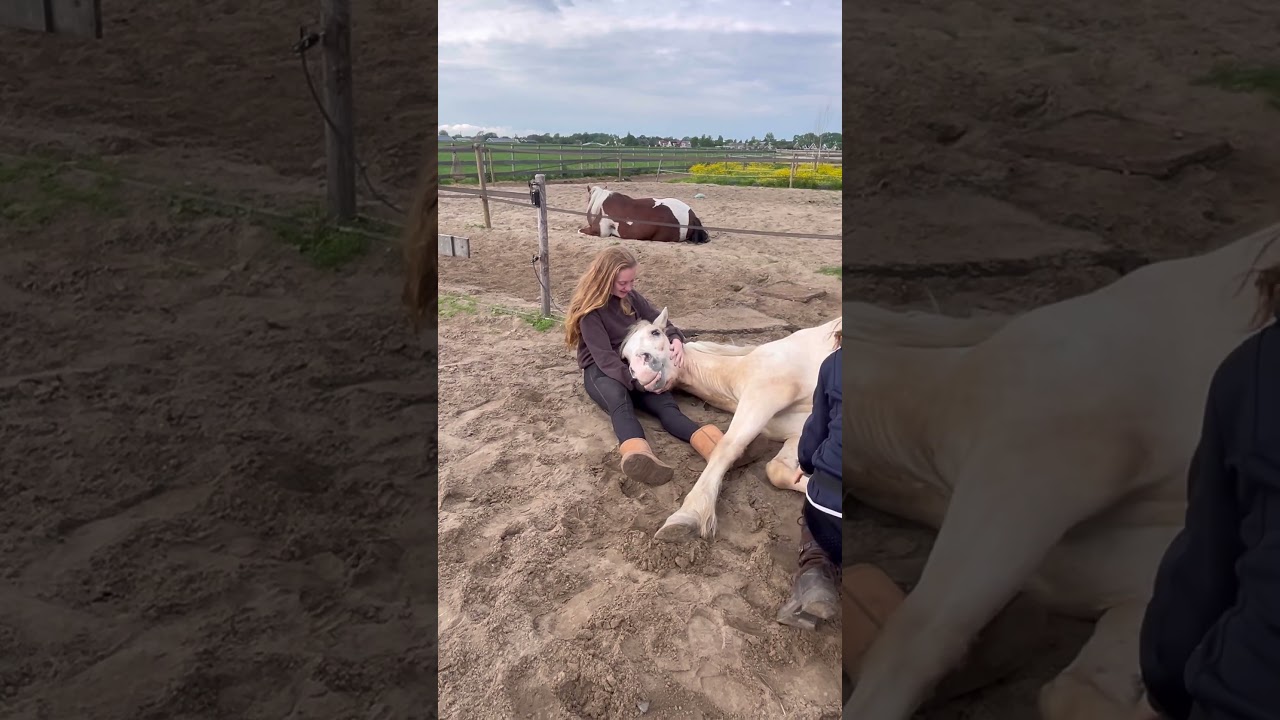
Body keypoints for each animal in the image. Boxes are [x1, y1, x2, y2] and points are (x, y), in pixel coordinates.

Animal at [617, 309, 842, 540]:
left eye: (655, 332)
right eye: (625, 357)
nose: (641, 371)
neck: (738, 372)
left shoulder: (761, 398)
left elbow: (727, 447)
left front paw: (687, 515)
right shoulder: (799, 428)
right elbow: (777, 469)